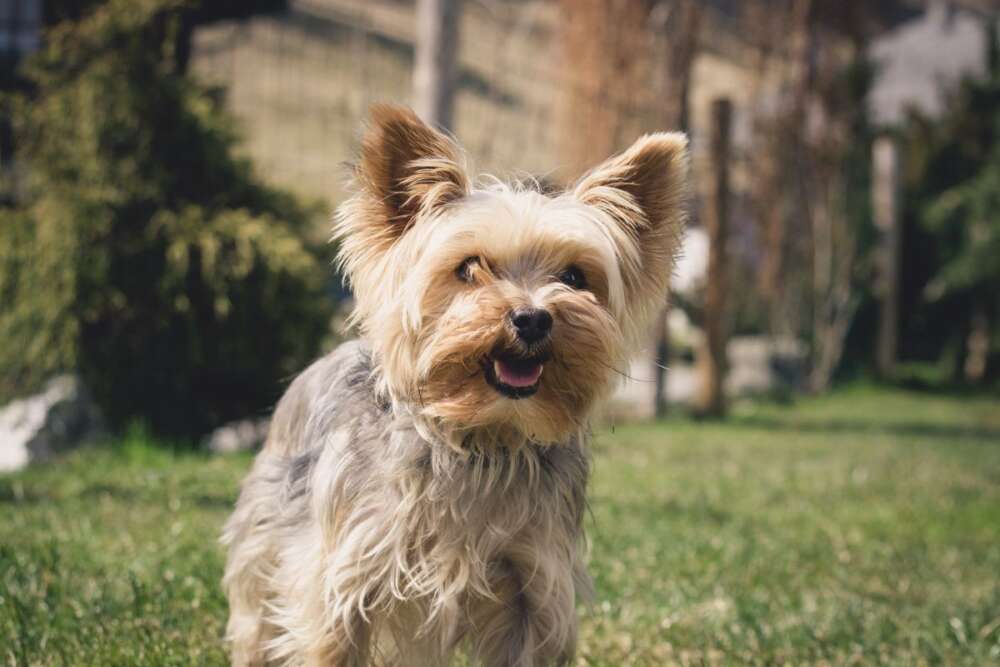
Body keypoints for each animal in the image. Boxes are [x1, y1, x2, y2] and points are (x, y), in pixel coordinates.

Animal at [221, 107, 688, 664]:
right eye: (469, 268)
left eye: (575, 277)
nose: (533, 318)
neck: (482, 438)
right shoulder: (341, 575)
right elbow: (328, 635)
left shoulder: (534, 586)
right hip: (265, 537)